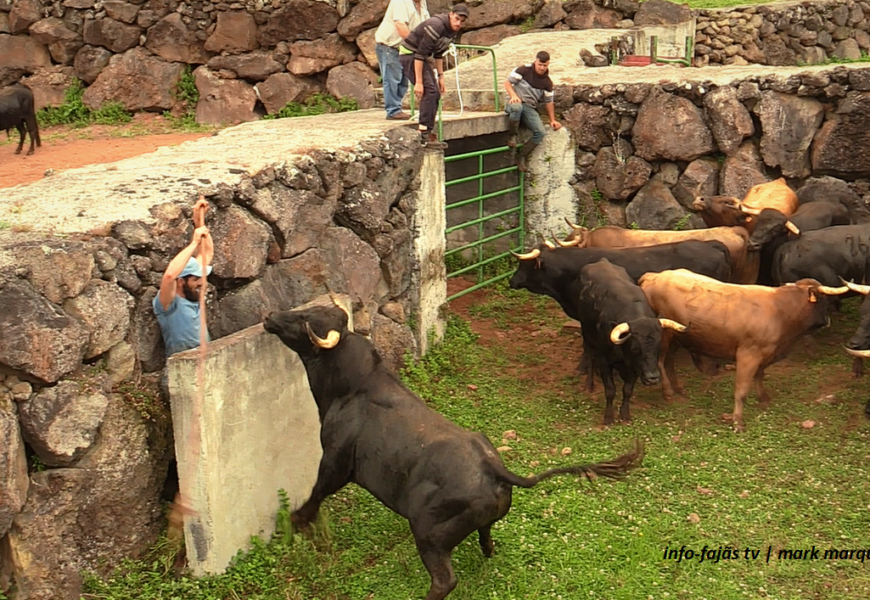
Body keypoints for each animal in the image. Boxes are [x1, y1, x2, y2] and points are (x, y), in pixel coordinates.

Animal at [262, 304, 644, 600]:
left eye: (304, 318)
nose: (269, 317)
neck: (354, 387)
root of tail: (495, 470)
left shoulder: (335, 462)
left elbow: (316, 492)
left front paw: (293, 522)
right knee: (487, 538)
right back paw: (487, 551)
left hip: (428, 534)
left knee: (444, 580)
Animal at [580, 260, 688, 424]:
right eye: (636, 348)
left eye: (658, 346)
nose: (652, 378)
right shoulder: (604, 361)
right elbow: (610, 390)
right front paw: (609, 416)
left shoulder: (636, 368)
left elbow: (628, 390)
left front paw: (625, 414)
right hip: (586, 332)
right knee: (589, 353)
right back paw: (589, 383)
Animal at [636, 270, 848, 432]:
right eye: (824, 300)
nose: (828, 320)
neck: (780, 309)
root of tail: (655, 275)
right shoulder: (748, 354)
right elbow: (742, 389)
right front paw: (737, 421)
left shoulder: (764, 354)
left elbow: (760, 376)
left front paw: (763, 398)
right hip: (664, 334)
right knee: (661, 361)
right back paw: (668, 392)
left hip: (678, 335)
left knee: (669, 360)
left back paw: (679, 388)